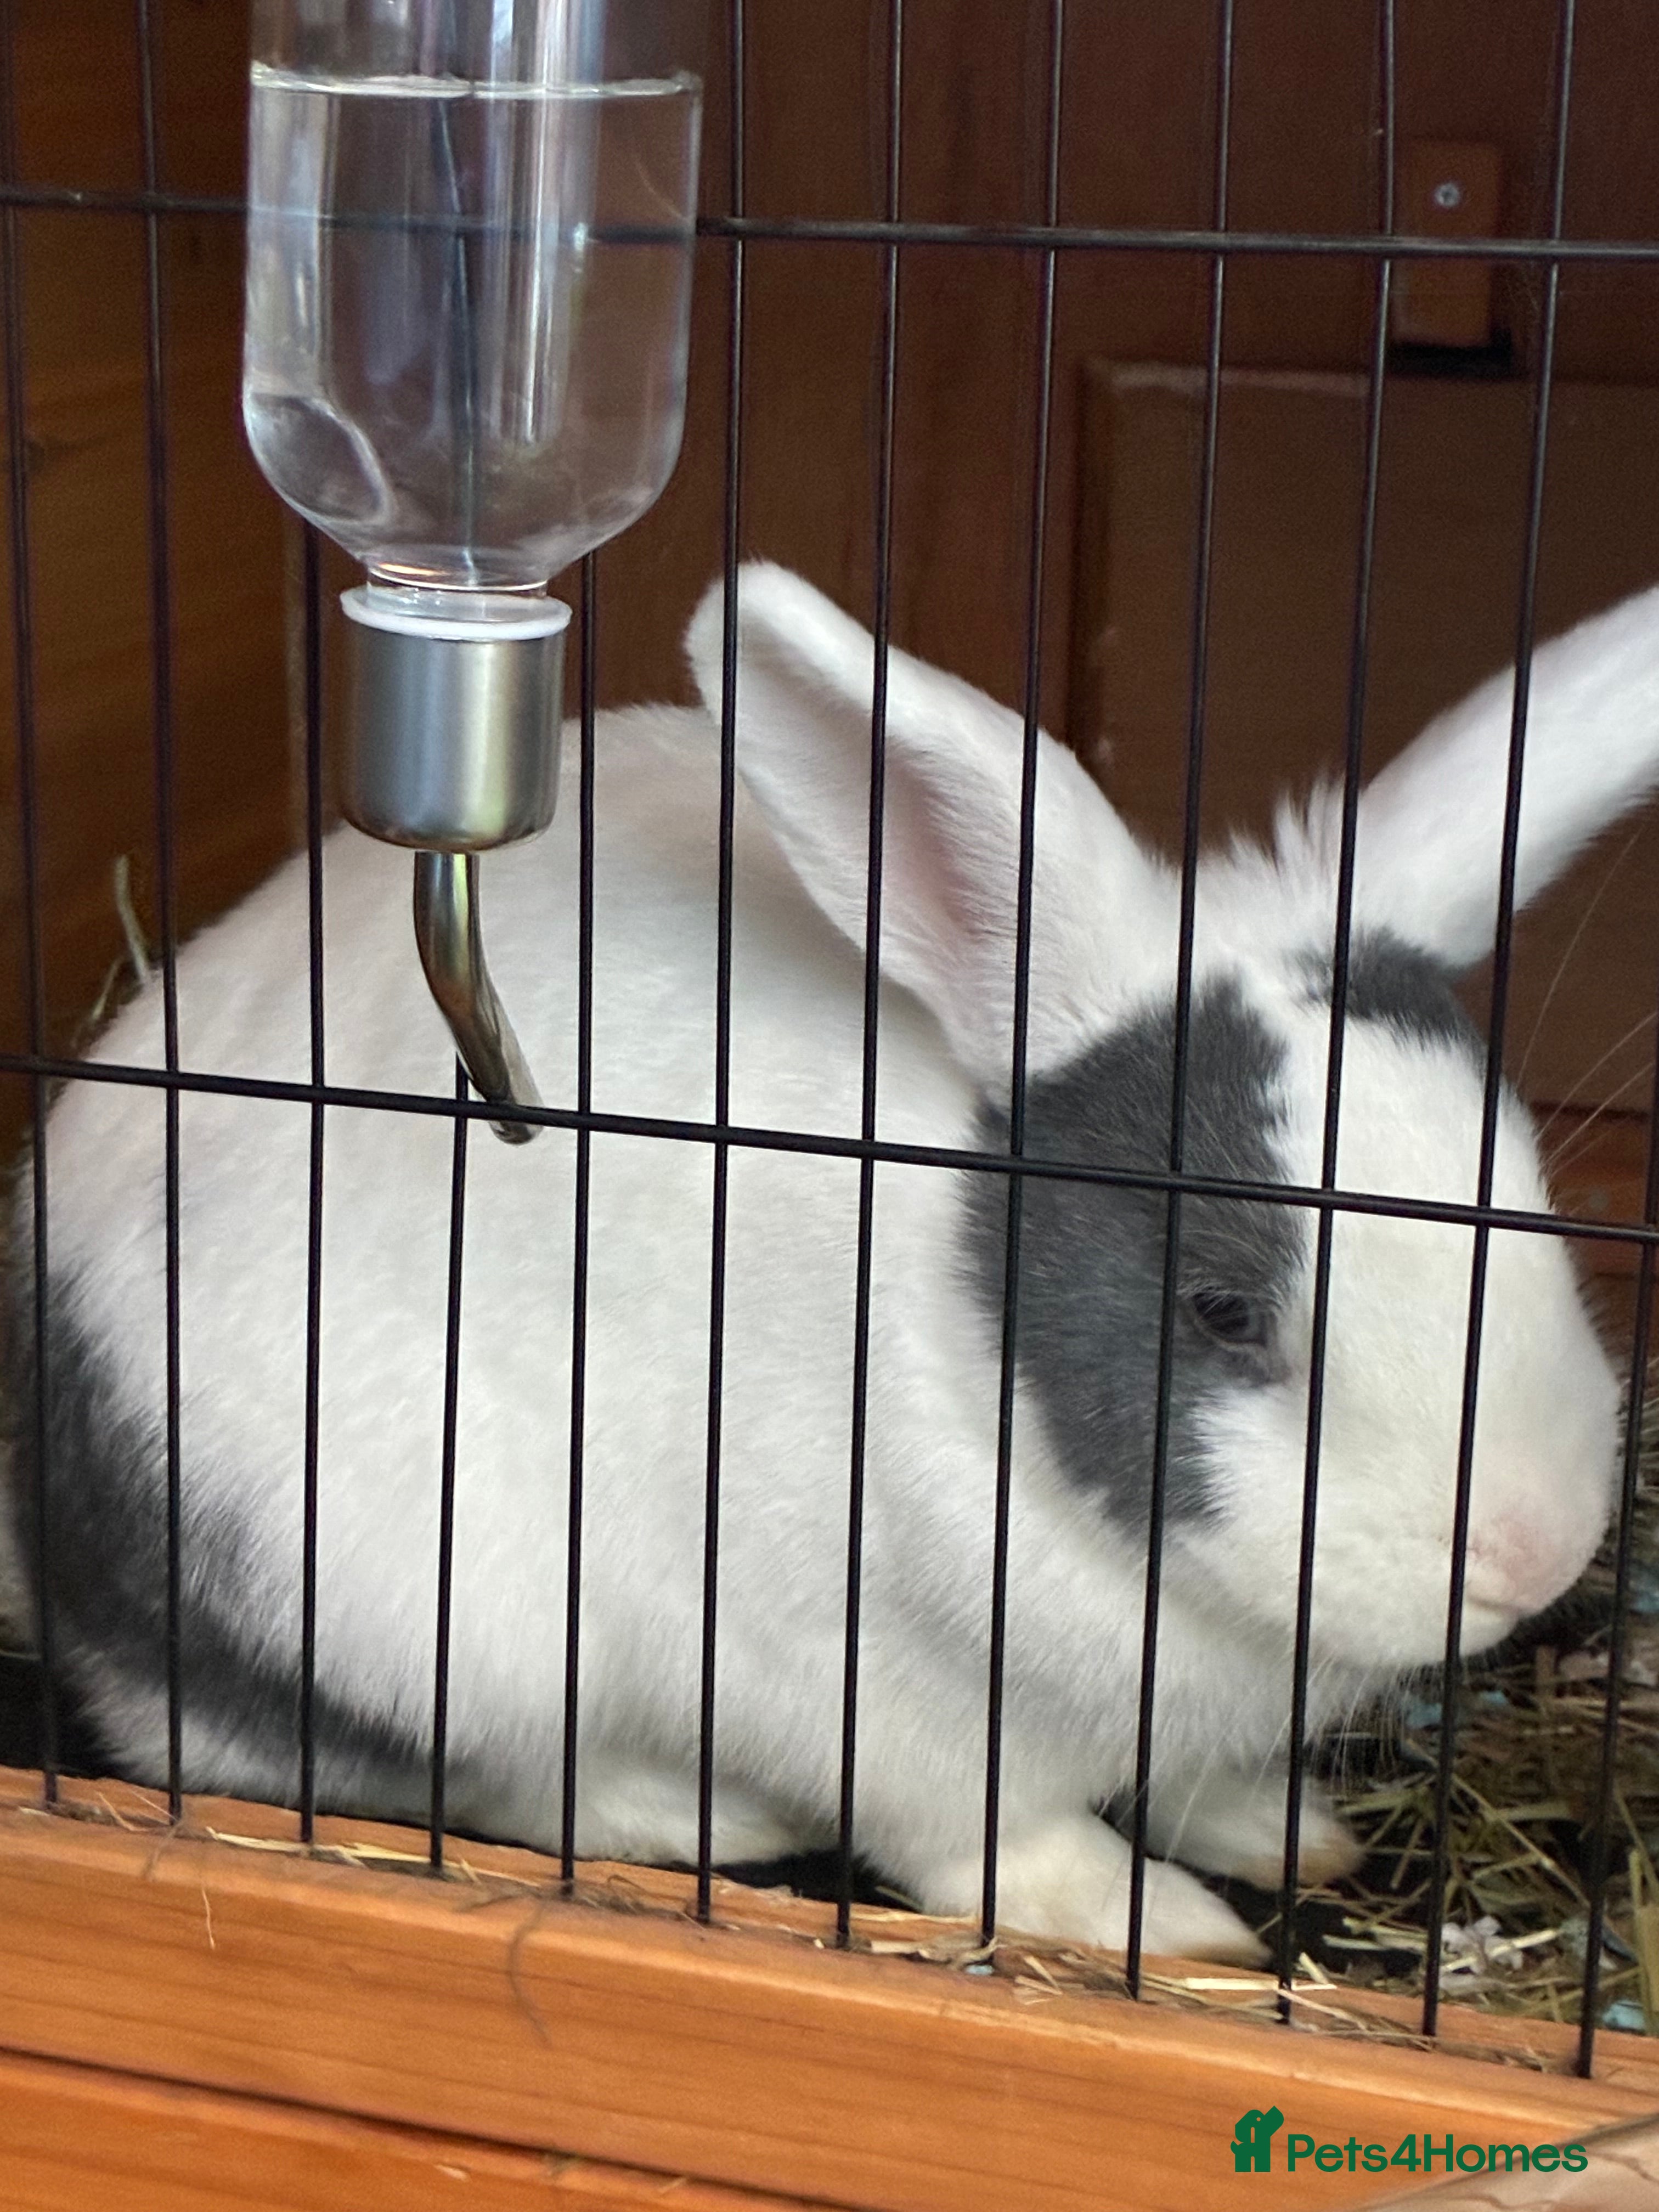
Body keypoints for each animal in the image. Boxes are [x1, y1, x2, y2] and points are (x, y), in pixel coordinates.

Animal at [9, 560, 1659, 1966]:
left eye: (1524, 1194)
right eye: (1225, 1310)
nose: (1535, 1550)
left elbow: (1191, 1782)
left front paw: (1286, 1831)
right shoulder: (853, 1680)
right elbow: (996, 1839)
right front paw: (1165, 1927)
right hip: (419, 1599)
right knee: (407, 1769)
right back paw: (702, 1815)